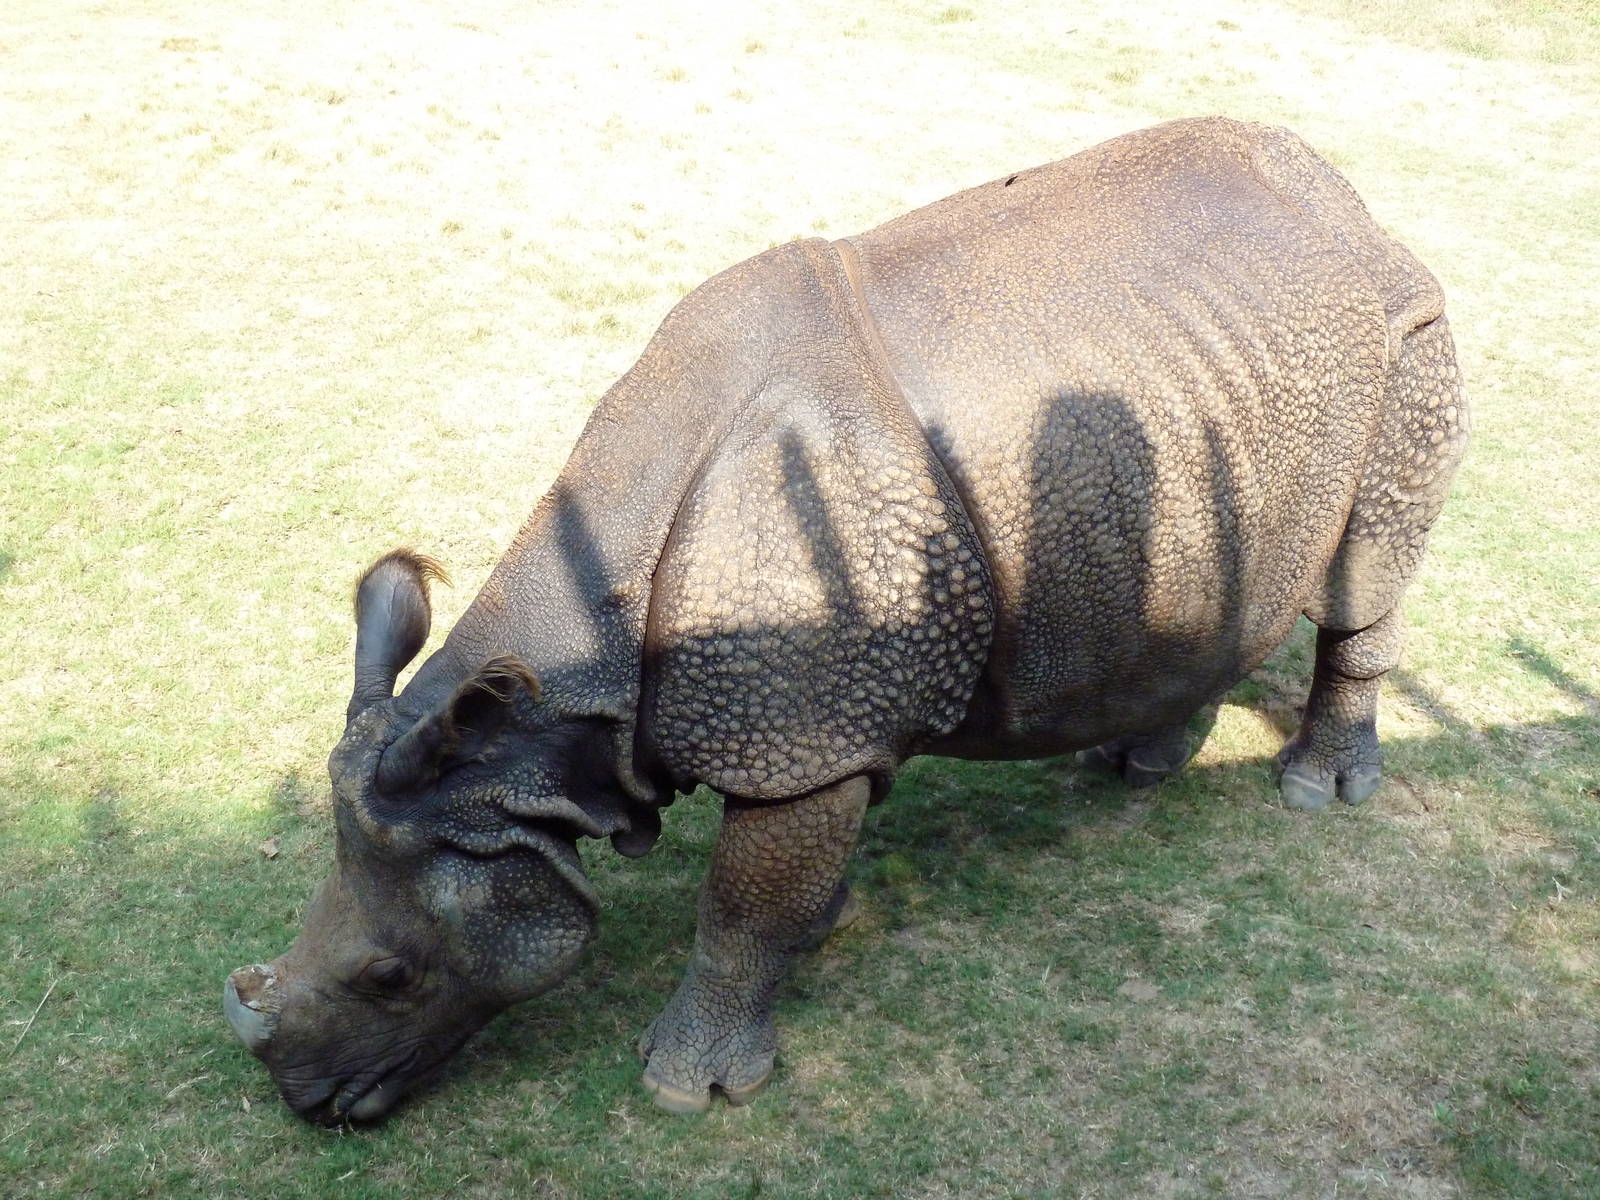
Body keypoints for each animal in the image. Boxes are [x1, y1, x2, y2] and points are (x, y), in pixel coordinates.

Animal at [224, 117, 1466, 1122]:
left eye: (390, 977)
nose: (312, 1106)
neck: (547, 722)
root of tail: (1345, 200)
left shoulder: (797, 742)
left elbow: (739, 905)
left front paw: (689, 1086)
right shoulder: (825, 714)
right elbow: (787, 877)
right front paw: (826, 923)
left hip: (1409, 332)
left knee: (1363, 572)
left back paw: (1315, 792)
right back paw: (1137, 767)